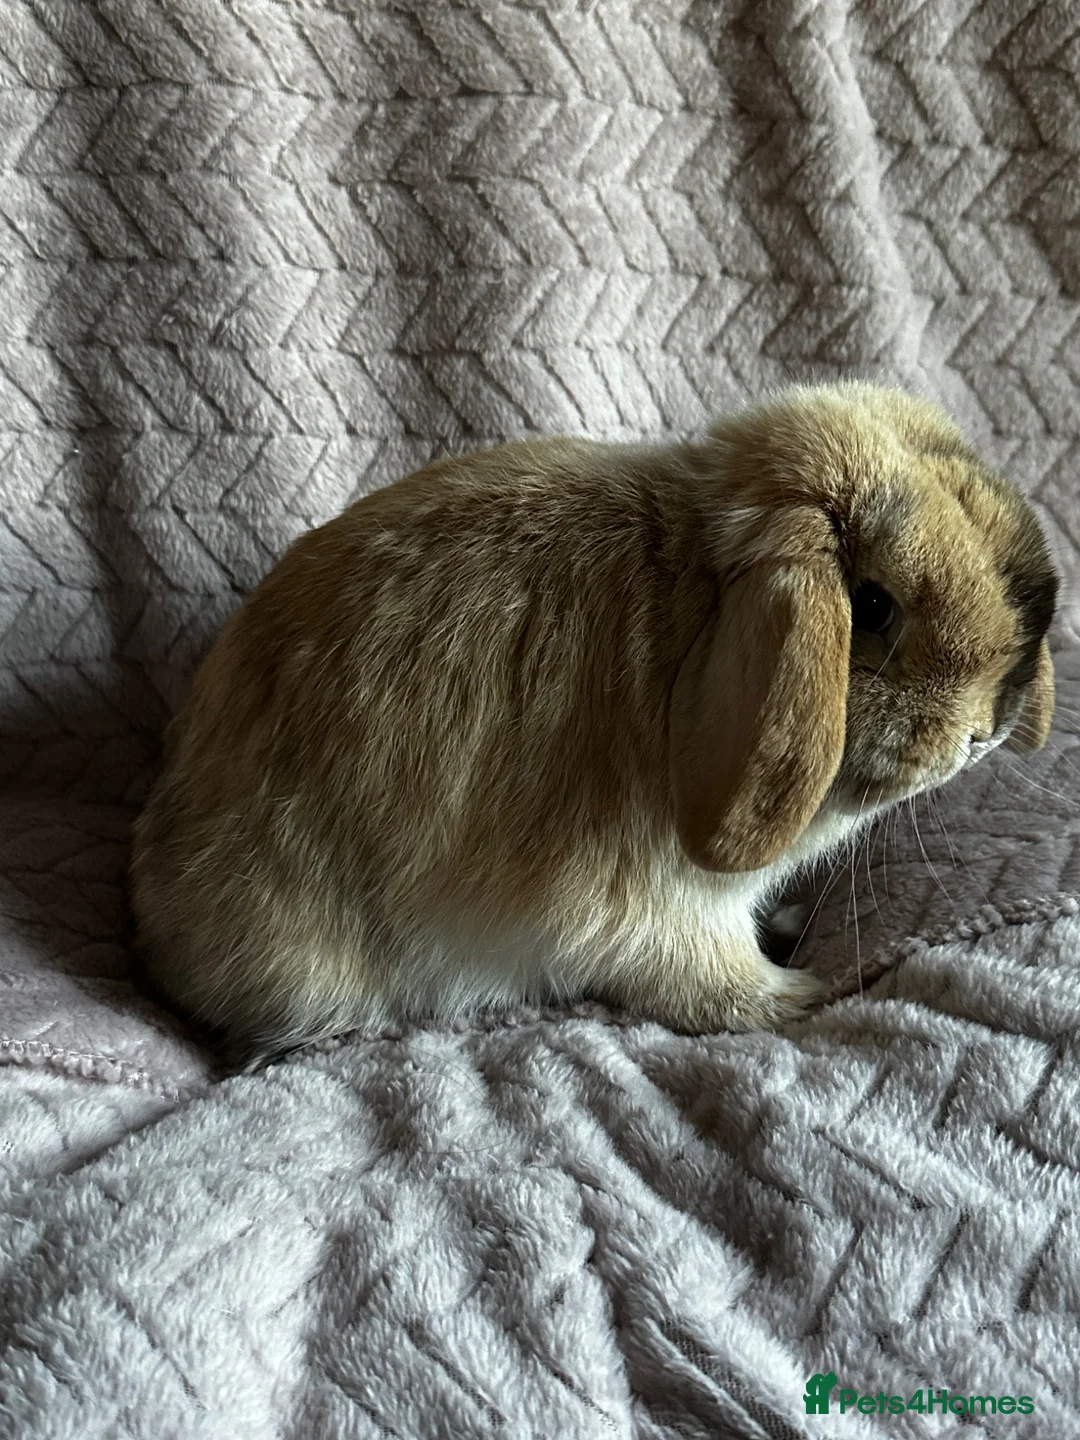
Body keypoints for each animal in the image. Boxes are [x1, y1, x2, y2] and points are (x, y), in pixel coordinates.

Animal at [130, 383, 1058, 1067]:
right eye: (871, 607)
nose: (986, 731)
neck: (697, 606)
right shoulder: (656, 911)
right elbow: (715, 987)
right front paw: (812, 990)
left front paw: (795, 932)